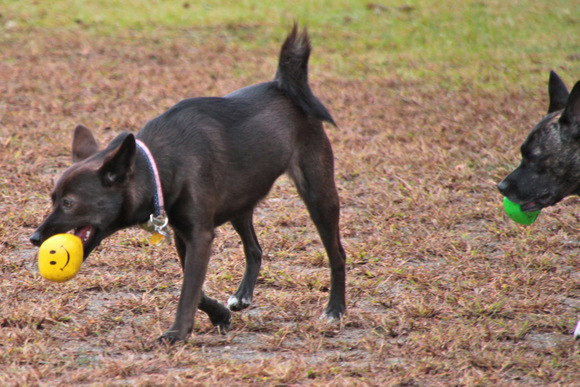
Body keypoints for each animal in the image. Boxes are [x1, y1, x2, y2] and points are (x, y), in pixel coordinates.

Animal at [30, 25, 344, 344]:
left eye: (68, 203)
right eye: (52, 198)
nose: (34, 238)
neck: (157, 166)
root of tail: (282, 86)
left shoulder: (199, 236)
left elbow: (188, 291)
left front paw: (177, 332)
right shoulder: (185, 235)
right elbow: (196, 289)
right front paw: (220, 315)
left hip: (318, 195)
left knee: (337, 253)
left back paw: (335, 309)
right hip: (240, 201)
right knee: (254, 249)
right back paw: (242, 296)